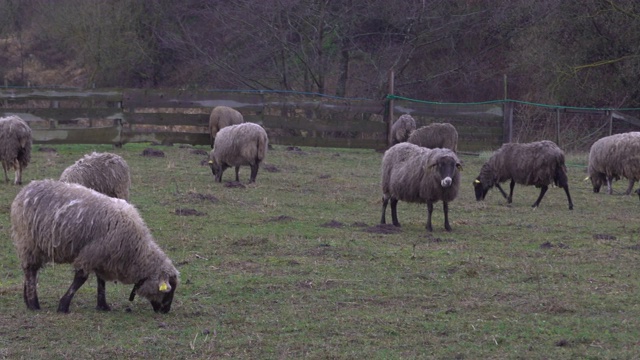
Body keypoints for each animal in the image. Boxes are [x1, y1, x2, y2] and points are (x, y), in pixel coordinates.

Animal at [10, 179, 180, 312]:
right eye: (168, 290)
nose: (165, 311)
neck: (136, 251)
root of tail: (26, 189)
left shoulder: (103, 256)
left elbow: (101, 281)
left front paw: (103, 305)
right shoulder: (92, 253)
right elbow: (80, 279)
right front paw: (63, 306)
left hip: (34, 245)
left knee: (30, 270)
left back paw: (27, 300)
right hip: (28, 241)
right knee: (30, 270)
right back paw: (33, 304)